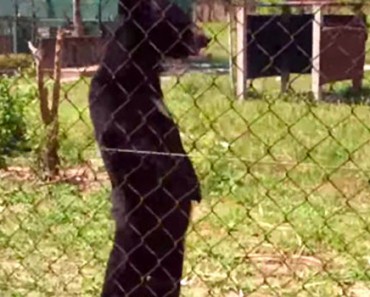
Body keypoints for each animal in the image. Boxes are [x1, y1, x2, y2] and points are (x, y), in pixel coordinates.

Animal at [88, 1, 207, 294]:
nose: (206, 38)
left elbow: (175, 142)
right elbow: (138, 145)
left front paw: (194, 186)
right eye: (180, 20)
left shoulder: (160, 106)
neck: (138, 73)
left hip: (173, 252)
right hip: (132, 244)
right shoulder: (112, 106)